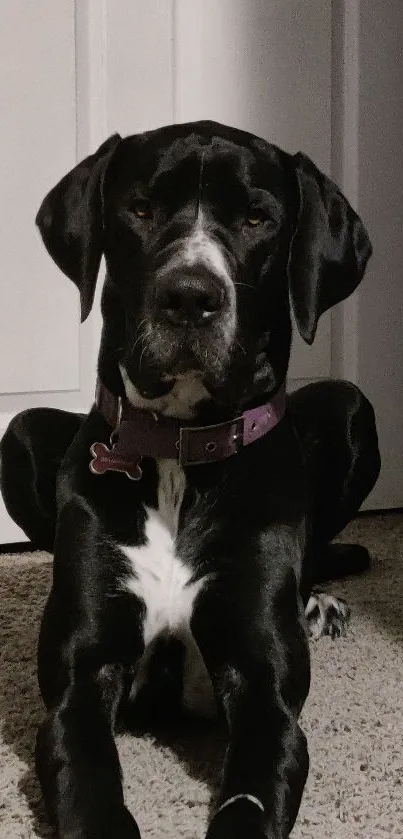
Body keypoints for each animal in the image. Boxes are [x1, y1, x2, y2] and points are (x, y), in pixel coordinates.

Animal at [0, 120, 380, 839]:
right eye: (140, 209)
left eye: (258, 218)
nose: (190, 296)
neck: (178, 448)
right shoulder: (79, 678)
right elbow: (88, 774)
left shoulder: (264, 687)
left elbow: (254, 786)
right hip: (21, 432)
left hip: (352, 407)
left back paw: (317, 600)